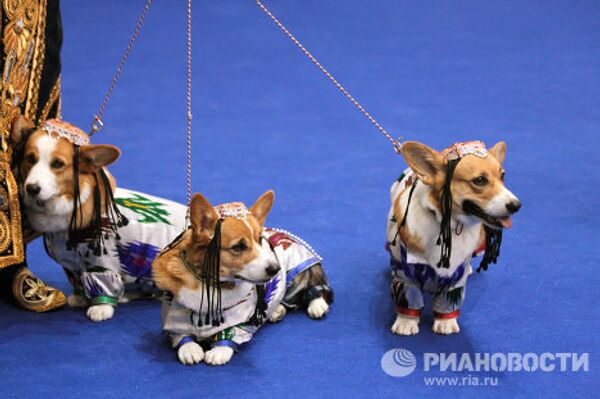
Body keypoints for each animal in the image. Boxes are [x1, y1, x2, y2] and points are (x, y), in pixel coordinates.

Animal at [12, 117, 189, 324]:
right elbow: (79, 280)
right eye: (30, 159)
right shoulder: (73, 263)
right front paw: (80, 297)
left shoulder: (102, 260)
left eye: (57, 164)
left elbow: (103, 282)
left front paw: (101, 307)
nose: (32, 188)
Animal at [152, 192, 332, 368]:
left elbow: (231, 333)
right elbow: (180, 334)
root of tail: (286, 234)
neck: (208, 283)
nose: (276, 269)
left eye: (260, 240)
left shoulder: (242, 319)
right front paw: (189, 348)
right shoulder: (173, 316)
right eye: (238, 246)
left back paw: (317, 306)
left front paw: (218, 352)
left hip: (300, 270)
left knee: (313, 287)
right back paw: (277, 310)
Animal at [386, 140, 516, 334]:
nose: (517, 205)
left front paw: (445, 323)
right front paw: (406, 323)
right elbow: (409, 297)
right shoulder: (406, 271)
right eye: (479, 180)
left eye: (503, 176)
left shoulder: (455, 276)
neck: (446, 223)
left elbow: (448, 302)